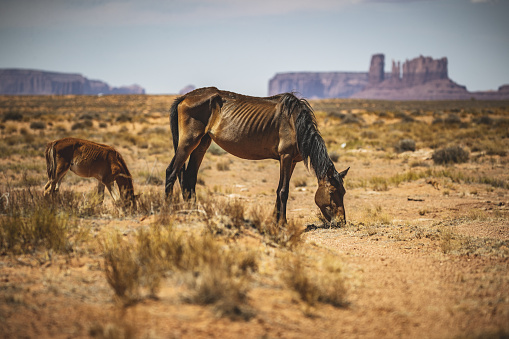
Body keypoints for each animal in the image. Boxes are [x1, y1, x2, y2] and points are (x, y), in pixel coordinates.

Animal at [167, 87, 350, 223]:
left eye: (344, 192)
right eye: (332, 192)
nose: (341, 221)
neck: (295, 123)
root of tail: (184, 97)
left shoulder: (292, 161)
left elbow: (279, 190)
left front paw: (275, 221)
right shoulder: (286, 157)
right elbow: (284, 191)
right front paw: (283, 223)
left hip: (202, 144)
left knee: (190, 177)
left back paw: (194, 213)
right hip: (188, 143)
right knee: (171, 172)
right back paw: (166, 210)